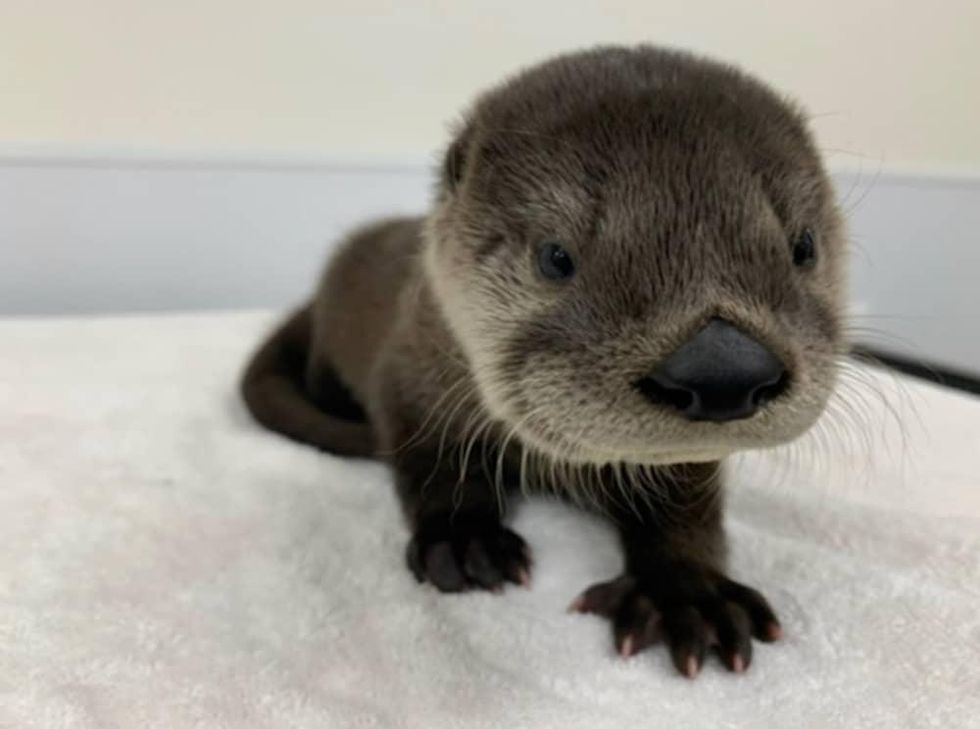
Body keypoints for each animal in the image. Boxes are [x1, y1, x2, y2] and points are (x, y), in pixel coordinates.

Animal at [241, 45, 846, 678]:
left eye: (803, 246)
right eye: (555, 257)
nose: (724, 369)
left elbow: (685, 502)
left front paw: (689, 592)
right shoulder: (409, 373)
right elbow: (433, 461)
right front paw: (465, 538)